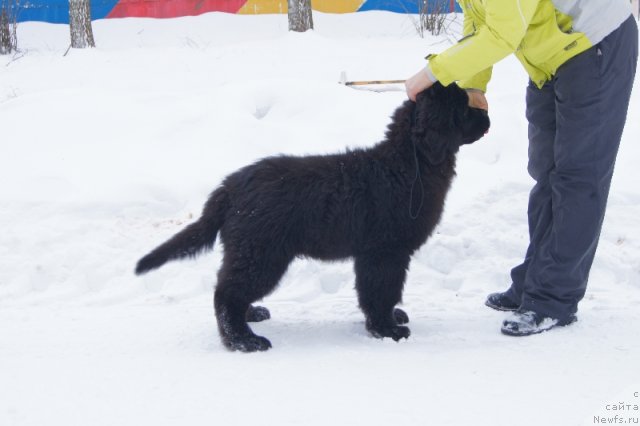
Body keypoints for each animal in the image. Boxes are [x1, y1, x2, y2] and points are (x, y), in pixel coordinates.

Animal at [136, 81, 490, 352]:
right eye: (463, 108)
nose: (488, 119)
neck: (405, 165)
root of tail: (230, 186)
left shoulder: (376, 254)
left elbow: (378, 293)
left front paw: (391, 319)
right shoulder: (385, 252)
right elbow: (380, 292)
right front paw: (387, 329)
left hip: (249, 252)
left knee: (230, 286)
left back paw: (251, 315)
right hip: (262, 253)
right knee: (226, 293)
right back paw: (244, 340)